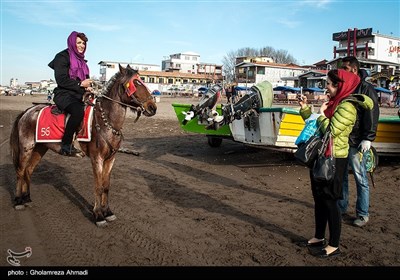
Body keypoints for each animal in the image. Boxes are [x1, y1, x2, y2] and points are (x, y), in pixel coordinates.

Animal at [9, 63, 156, 225]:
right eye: (136, 83)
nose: (152, 107)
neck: (105, 122)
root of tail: (27, 111)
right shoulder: (97, 159)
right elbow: (98, 186)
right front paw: (98, 215)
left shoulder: (110, 159)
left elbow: (106, 186)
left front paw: (108, 212)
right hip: (26, 147)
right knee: (20, 171)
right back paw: (18, 201)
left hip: (40, 148)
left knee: (28, 170)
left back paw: (27, 198)